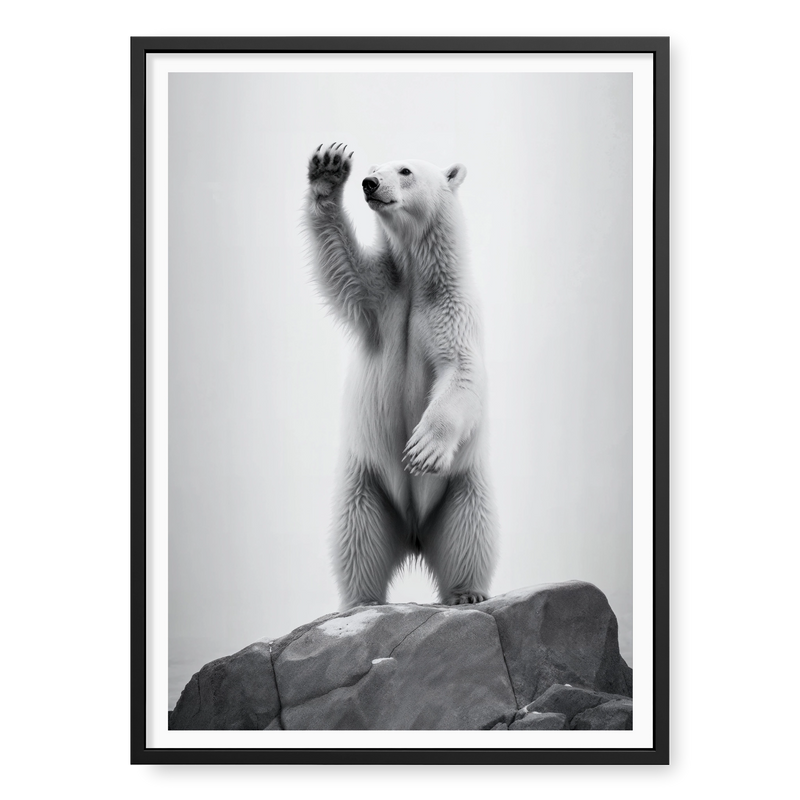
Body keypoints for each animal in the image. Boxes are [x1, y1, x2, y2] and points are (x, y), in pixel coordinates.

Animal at [304, 142, 497, 608]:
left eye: (405, 170)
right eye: (373, 168)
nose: (369, 183)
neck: (416, 275)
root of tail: (413, 535)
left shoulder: (452, 307)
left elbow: (461, 371)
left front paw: (423, 448)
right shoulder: (380, 294)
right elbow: (341, 264)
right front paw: (328, 168)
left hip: (462, 485)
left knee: (470, 530)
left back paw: (466, 593)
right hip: (366, 483)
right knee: (357, 536)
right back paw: (361, 600)